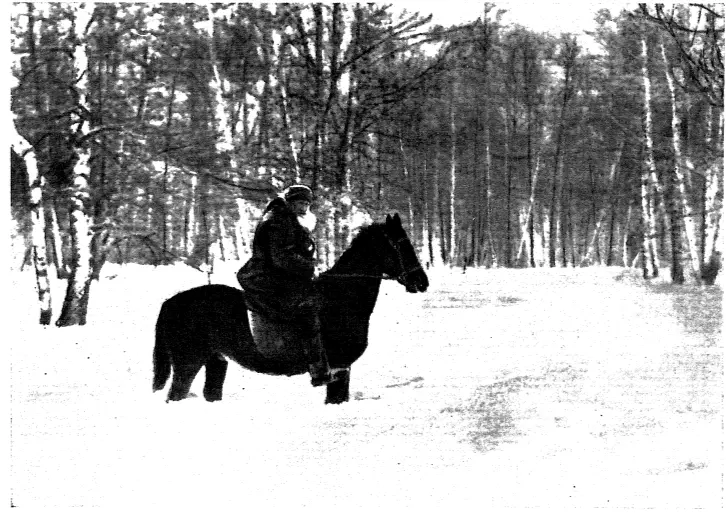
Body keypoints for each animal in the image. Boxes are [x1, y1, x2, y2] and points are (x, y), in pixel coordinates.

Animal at [151, 213, 430, 404]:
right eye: (401, 244)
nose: (421, 281)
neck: (340, 299)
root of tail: (171, 303)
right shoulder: (339, 368)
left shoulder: (343, 369)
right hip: (188, 362)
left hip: (216, 361)